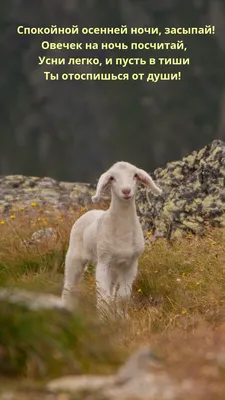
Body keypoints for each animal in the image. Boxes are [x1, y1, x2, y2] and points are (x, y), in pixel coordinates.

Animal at [61, 161, 162, 318]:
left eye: (135, 175)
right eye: (112, 178)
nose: (126, 191)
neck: (123, 232)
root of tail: (90, 211)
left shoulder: (131, 264)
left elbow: (122, 296)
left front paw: (121, 317)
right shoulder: (104, 262)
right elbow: (104, 297)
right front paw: (104, 318)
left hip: (115, 269)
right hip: (75, 257)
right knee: (69, 285)